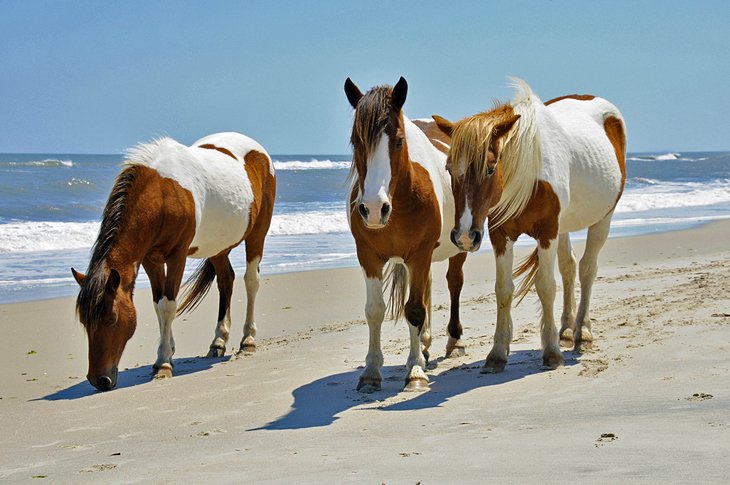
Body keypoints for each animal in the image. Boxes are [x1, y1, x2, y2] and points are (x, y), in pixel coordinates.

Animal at [72, 131, 276, 390]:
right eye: (85, 322)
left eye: (111, 319)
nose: (99, 380)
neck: (162, 195)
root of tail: (259, 151)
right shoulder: (151, 259)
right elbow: (158, 304)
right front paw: (166, 354)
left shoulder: (177, 256)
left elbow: (168, 305)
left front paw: (163, 364)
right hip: (217, 247)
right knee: (225, 281)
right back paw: (218, 342)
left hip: (258, 233)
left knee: (251, 281)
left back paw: (247, 340)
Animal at [342, 76, 466, 394]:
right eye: (356, 141)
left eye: (398, 141)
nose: (374, 209)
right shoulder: (368, 256)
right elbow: (375, 310)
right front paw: (371, 372)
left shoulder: (420, 254)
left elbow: (414, 310)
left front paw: (415, 373)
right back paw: (423, 345)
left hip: (457, 247)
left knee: (454, 284)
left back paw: (454, 341)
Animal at [432, 79, 624, 372]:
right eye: (449, 169)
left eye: (490, 168)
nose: (464, 236)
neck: (528, 174)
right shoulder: (500, 235)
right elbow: (503, 289)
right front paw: (497, 353)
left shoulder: (547, 232)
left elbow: (546, 286)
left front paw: (552, 353)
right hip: (564, 226)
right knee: (569, 268)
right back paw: (567, 331)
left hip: (603, 218)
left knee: (587, 269)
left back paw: (583, 333)